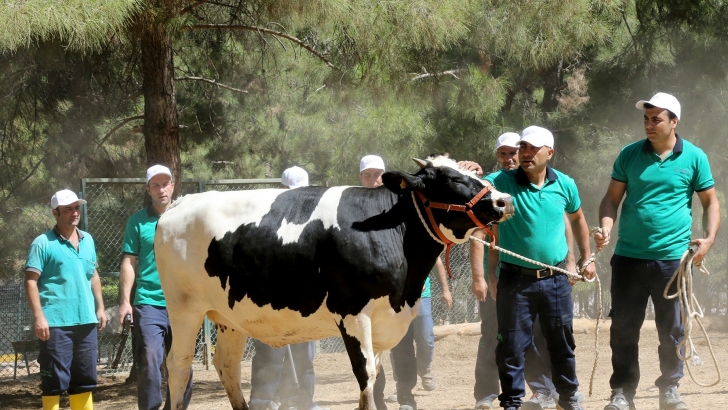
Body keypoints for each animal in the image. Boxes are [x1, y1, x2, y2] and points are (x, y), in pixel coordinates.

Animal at [156, 155, 516, 410]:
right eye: (453, 179)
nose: (504, 200)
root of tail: (180, 204)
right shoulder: (352, 310)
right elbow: (365, 375)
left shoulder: (383, 319)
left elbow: (377, 375)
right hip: (184, 308)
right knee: (178, 365)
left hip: (229, 316)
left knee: (226, 365)